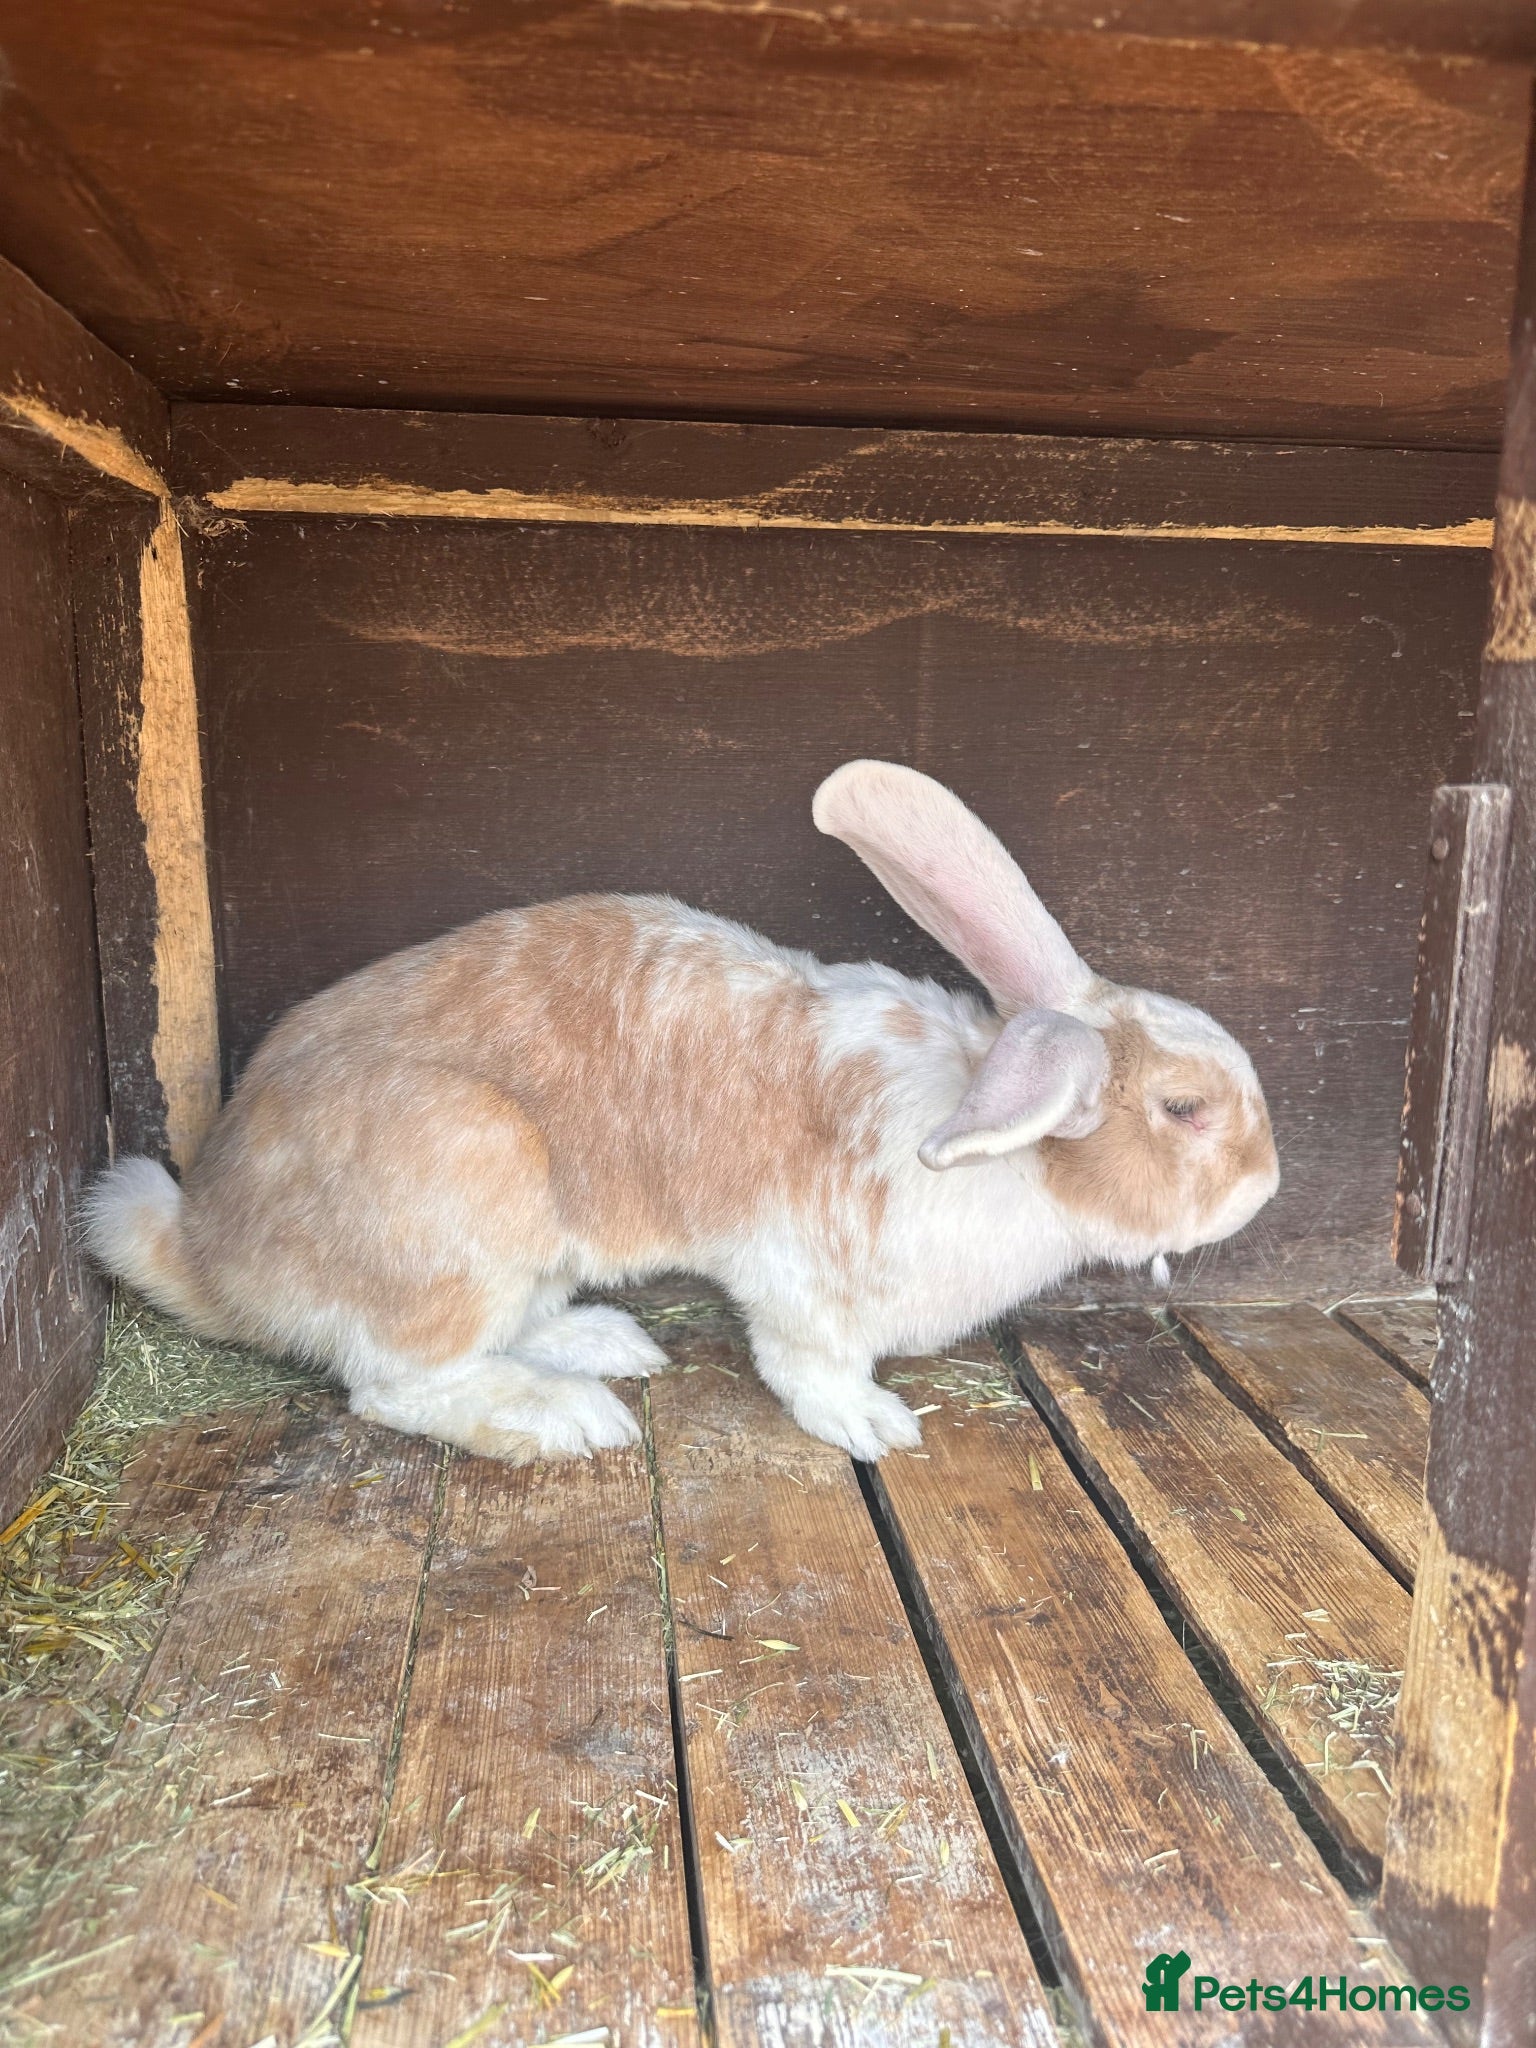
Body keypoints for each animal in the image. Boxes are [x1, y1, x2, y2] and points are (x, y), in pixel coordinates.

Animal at [85, 760, 1279, 1463]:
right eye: (1184, 1108)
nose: (1268, 1186)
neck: (1001, 1134)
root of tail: (212, 1247)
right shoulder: (802, 1285)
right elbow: (809, 1367)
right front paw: (873, 1427)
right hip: (465, 1179)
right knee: (396, 1384)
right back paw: (567, 1417)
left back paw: (602, 1343)